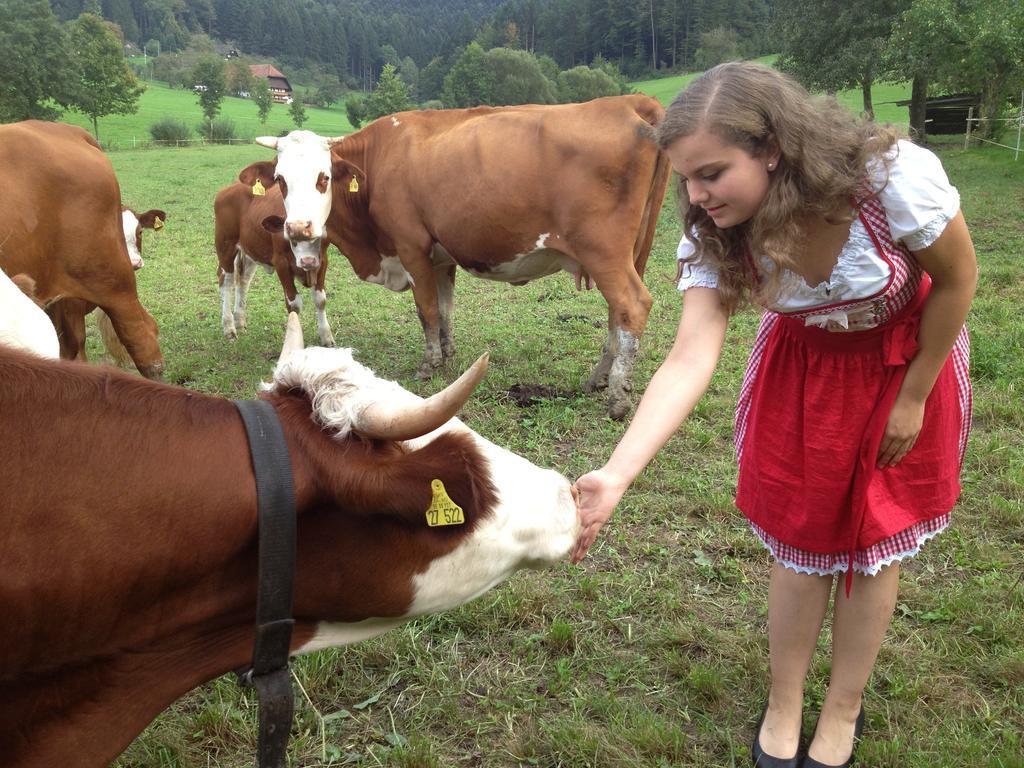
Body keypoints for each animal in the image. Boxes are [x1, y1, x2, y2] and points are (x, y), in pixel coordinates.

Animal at [256, 99, 671, 421]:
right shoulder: (441, 256)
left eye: (323, 177)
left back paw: (616, 398)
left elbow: (425, 309)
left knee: (632, 305)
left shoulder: (411, 247)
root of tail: (626, 102)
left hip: (604, 253)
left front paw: (429, 363)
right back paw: (600, 378)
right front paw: (447, 352)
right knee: (617, 315)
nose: (299, 227)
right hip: (631, 254)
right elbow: (444, 307)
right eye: (280, 180)